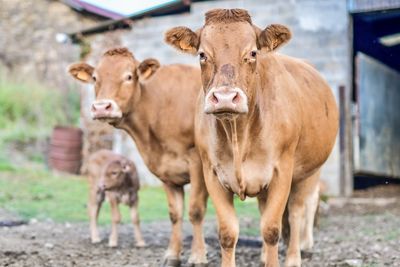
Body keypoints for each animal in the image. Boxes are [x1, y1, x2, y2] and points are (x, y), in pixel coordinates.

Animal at [67, 48, 208, 267]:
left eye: (128, 76)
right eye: (95, 78)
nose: (101, 107)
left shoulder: (198, 163)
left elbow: (195, 210)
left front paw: (198, 257)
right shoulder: (166, 170)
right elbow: (175, 214)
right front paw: (172, 255)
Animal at [165, 8, 338, 267]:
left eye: (253, 52)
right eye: (202, 54)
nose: (225, 98)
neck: (238, 134)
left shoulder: (282, 171)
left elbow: (272, 229)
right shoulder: (211, 173)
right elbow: (228, 233)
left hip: (309, 172)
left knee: (298, 211)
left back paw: (295, 256)